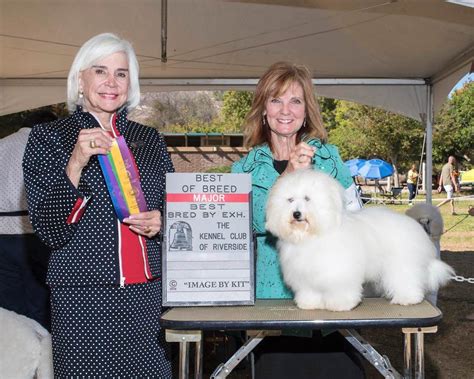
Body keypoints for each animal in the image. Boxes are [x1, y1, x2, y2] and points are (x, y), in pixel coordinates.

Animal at [264, 170, 454, 312]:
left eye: (307, 198)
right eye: (290, 200)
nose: (296, 214)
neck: (314, 235)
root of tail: (413, 224)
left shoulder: (339, 271)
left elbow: (340, 289)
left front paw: (340, 304)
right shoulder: (306, 276)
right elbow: (310, 291)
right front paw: (309, 303)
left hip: (403, 264)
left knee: (407, 279)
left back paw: (407, 298)